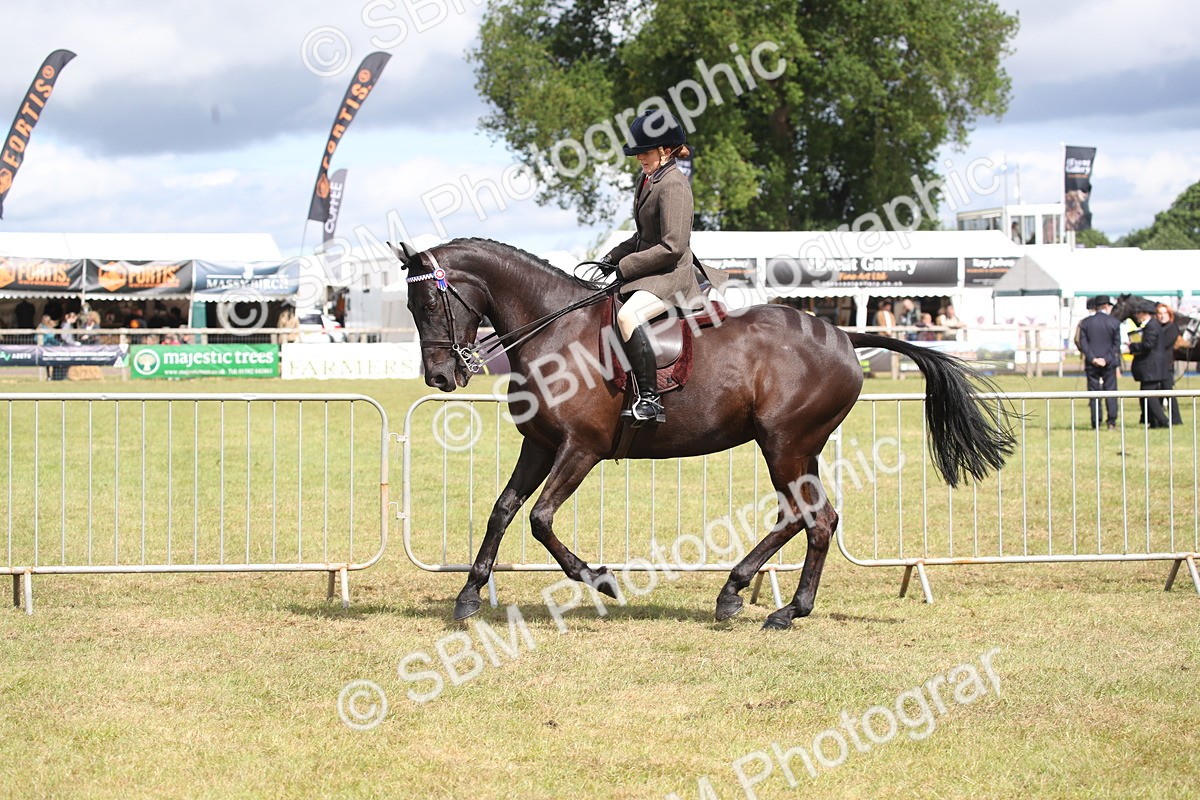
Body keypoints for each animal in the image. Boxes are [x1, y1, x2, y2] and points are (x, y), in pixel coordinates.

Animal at [396, 238, 1015, 630]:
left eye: (428, 300)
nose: (440, 377)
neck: (557, 330)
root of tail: (842, 335)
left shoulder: (581, 449)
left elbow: (540, 519)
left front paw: (600, 579)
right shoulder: (541, 444)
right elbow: (502, 510)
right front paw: (469, 595)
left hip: (785, 445)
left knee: (810, 518)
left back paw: (773, 606)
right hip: (798, 449)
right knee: (811, 517)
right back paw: (751, 596)